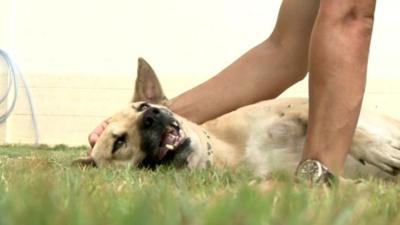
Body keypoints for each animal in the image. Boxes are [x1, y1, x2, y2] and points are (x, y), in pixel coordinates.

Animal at [74, 58, 400, 179]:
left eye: (142, 106)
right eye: (118, 142)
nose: (152, 116)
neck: (228, 151)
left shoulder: (299, 108)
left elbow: (355, 130)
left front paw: (378, 149)